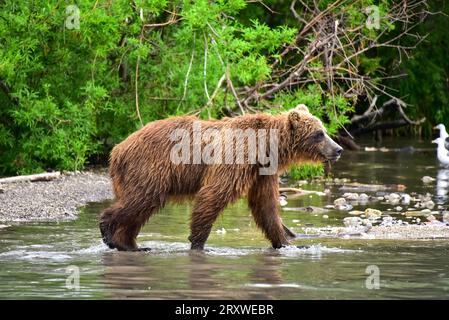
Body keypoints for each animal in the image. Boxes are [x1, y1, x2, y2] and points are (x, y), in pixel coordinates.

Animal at [100, 104, 342, 250]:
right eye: (319, 134)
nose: (338, 149)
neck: (265, 147)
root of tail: (117, 150)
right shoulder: (237, 156)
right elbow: (214, 194)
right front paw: (198, 242)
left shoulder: (262, 171)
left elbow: (266, 206)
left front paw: (287, 242)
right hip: (149, 168)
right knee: (140, 200)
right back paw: (108, 232)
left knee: (142, 208)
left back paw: (132, 245)